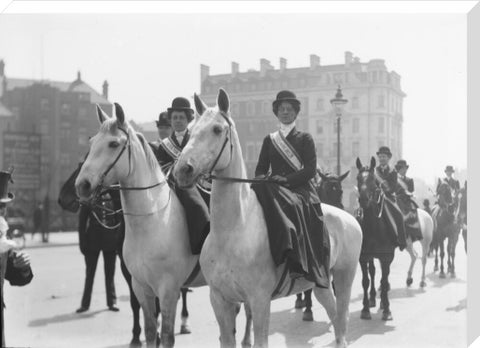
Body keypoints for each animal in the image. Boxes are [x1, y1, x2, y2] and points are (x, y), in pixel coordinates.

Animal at [74, 105, 251, 348]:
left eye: (113, 144)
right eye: (92, 142)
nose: (82, 185)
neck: (151, 221)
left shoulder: (168, 289)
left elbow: (166, 335)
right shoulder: (141, 287)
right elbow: (150, 331)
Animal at [356, 158, 398, 320]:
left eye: (373, 180)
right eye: (358, 178)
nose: (363, 199)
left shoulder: (386, 257)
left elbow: (385, 281)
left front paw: (387, 309)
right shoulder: (363, 257)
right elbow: (365, 281)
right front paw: (365, 309)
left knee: (382, 277)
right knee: (373, 273)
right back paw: (373, 298)